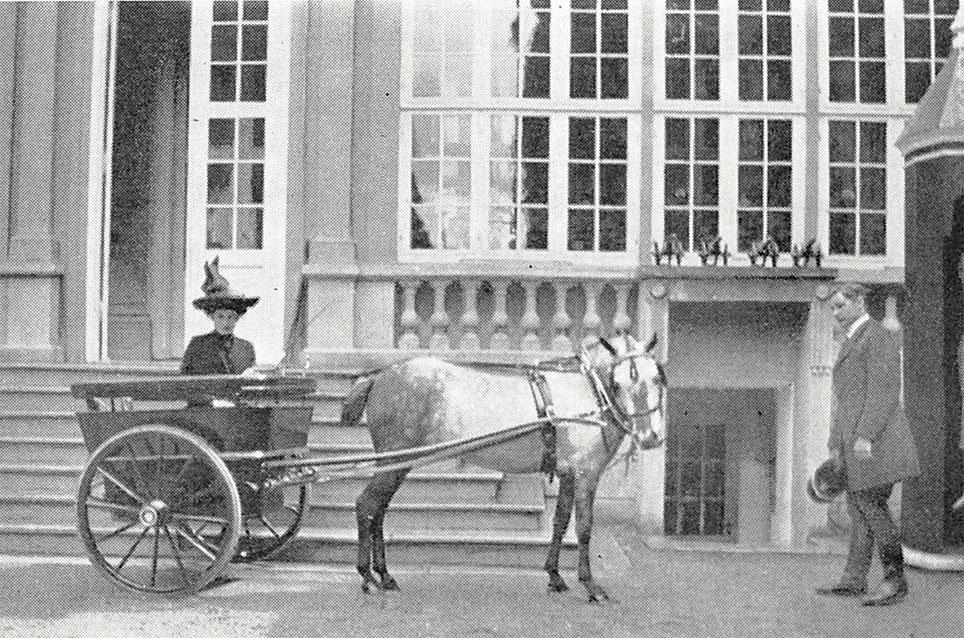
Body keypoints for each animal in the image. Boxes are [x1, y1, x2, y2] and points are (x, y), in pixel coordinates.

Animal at [342, 336, 668, 604]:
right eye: (618, 383)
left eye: (656, 378)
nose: (650, 437)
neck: (588, 392)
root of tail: (380, 375)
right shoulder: (586, 474)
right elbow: (584, 528)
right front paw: (590, 586)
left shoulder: (567, 474)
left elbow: (561, 522)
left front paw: (555, 576)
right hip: (393, 463)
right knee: (367, 505)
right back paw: (368, 576)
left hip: (400, 463)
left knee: (378, 510)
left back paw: (384, 575)